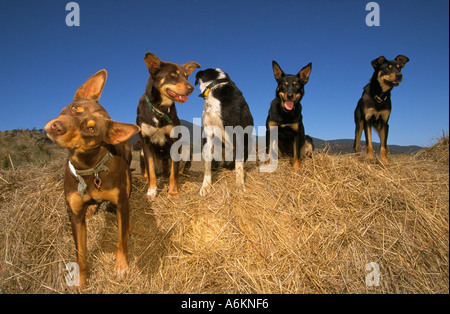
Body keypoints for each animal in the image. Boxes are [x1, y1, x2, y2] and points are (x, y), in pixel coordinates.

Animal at [44, 70, 140, 288]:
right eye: (74, 108)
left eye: (91, 129)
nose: (56, 127)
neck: (90, 167)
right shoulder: (75, 214)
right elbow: (80, 253)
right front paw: (81, 280)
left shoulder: (120, 201)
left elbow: (121, 239)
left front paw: (121, 266)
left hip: (128, 181)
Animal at [136, 51, 200, 199]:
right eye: (173, 75)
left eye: (186, 76)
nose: (191, 88)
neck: (160, 109)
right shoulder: (145, 142)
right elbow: (151, 171)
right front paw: (151, 191)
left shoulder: (175, 141)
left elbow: (173, 173)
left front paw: (173, 191)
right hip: (141, 150)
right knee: (148, 172)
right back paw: (143, 178)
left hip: (186, 148)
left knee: (177, 171)